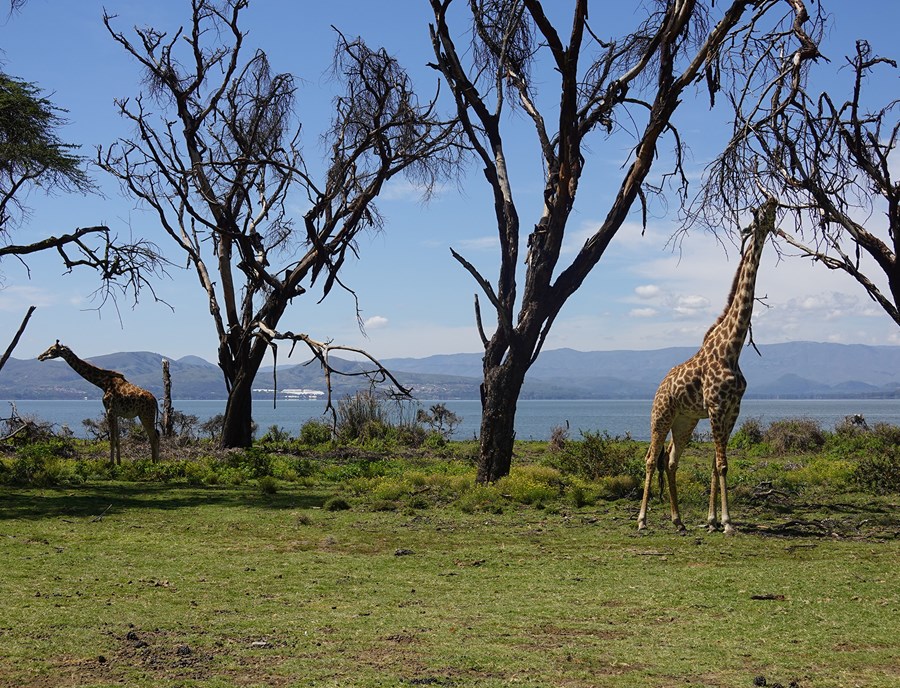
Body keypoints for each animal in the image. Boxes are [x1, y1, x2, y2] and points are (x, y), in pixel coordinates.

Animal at [637, 198, 777, 535]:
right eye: (758, 212)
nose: (774, 201)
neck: (732, 349)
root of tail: (659, 386)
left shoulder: (733, 409)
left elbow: (716, 463)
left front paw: (712, 520)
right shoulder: (715, 406)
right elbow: (722, 464)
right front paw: (726, 522)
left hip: (684, 421)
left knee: (670, 460)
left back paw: (678, 521)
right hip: (661, 416)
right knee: (650, 458)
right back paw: (642, 520)